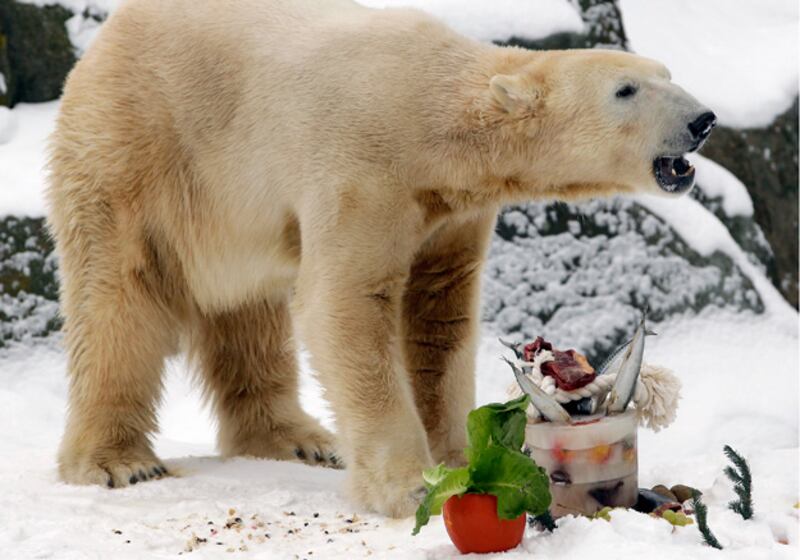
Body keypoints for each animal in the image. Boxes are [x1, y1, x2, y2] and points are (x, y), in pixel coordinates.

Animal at [47, 0, 714, 517]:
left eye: (668, 72)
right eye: (626, 89)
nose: (703, 120)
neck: (435, 113)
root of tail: (105, 39)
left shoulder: (451, 210)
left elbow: (439, 318)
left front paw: (464, 458)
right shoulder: (363, 169)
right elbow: (345, 305)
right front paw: (410, 487)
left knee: (249, 312)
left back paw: (297, 439)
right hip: (141, 150)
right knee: (118, 299)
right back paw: (118, 462)